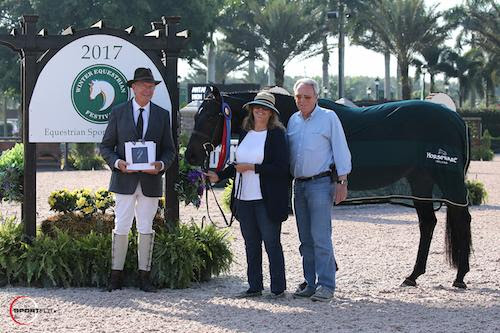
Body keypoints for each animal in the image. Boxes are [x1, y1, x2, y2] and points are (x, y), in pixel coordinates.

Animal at [185, 87, 472, 286]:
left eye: (210, 116)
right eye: (196, 115)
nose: (190, 156)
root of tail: (456, 119)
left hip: (447, 178)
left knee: (462, 217)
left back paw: (460, 277)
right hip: (420, 180)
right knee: (428, 223)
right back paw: (413, 276)